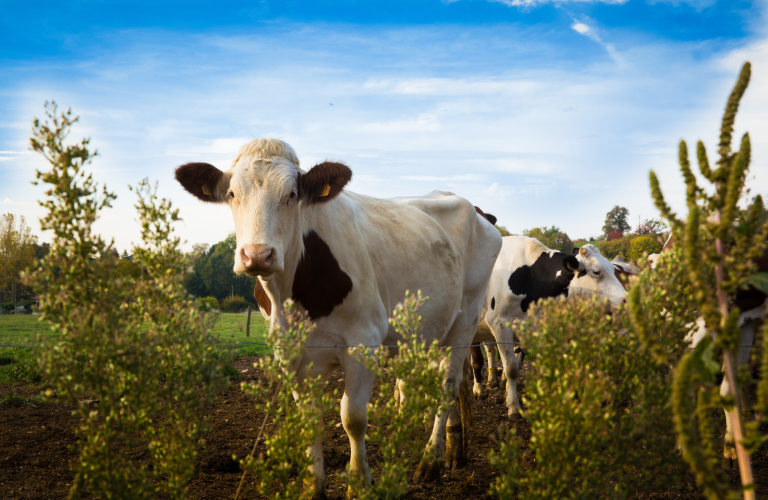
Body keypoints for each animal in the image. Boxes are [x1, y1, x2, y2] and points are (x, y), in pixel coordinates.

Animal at [172, 138, 504, 496]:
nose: (257, 255)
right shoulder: (291, 354)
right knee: (453, 383)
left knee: (448, 385)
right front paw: (312, 486)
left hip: (466, 317)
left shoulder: (364, 342)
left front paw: (359, 483)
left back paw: (430, 461)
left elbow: (353, 418)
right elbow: (309, 419)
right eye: (232, 194)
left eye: (292, 194)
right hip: (433, 330)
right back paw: (454, 452)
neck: (295, 298)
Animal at [472, 236, 628, 416]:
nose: (626, 298)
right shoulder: (499, 324)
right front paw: (513, 406)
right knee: (476, 359)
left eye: (613, 269)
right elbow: (511, 368)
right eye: (596, 271)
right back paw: (478, 389)